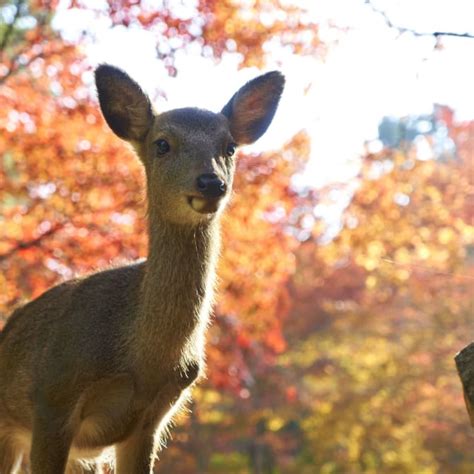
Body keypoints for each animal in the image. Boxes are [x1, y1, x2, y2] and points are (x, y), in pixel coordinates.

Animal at [0, 64, 286, 474]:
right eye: (162, 144)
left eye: (229, 147)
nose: (211, 182)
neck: (143, 361)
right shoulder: (53, 396)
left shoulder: (151, 418)